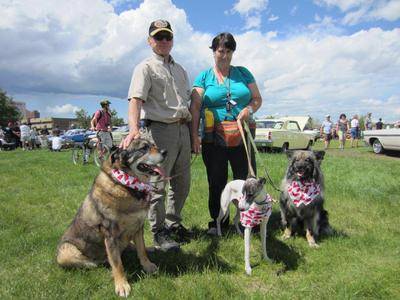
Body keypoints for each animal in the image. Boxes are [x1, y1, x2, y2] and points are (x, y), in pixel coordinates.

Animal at [55, 139, 166, 298]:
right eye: (143, 148)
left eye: (153, 144)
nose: (165, 152)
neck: (126, 185)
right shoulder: (110, 235)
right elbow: (117, 264)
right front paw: (122, 285)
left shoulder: (138, 227)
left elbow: (141, 250)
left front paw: (147, 265)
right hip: (65, 251)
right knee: (91, 262)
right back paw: (99, 263)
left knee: (132, 246)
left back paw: (152, 248)